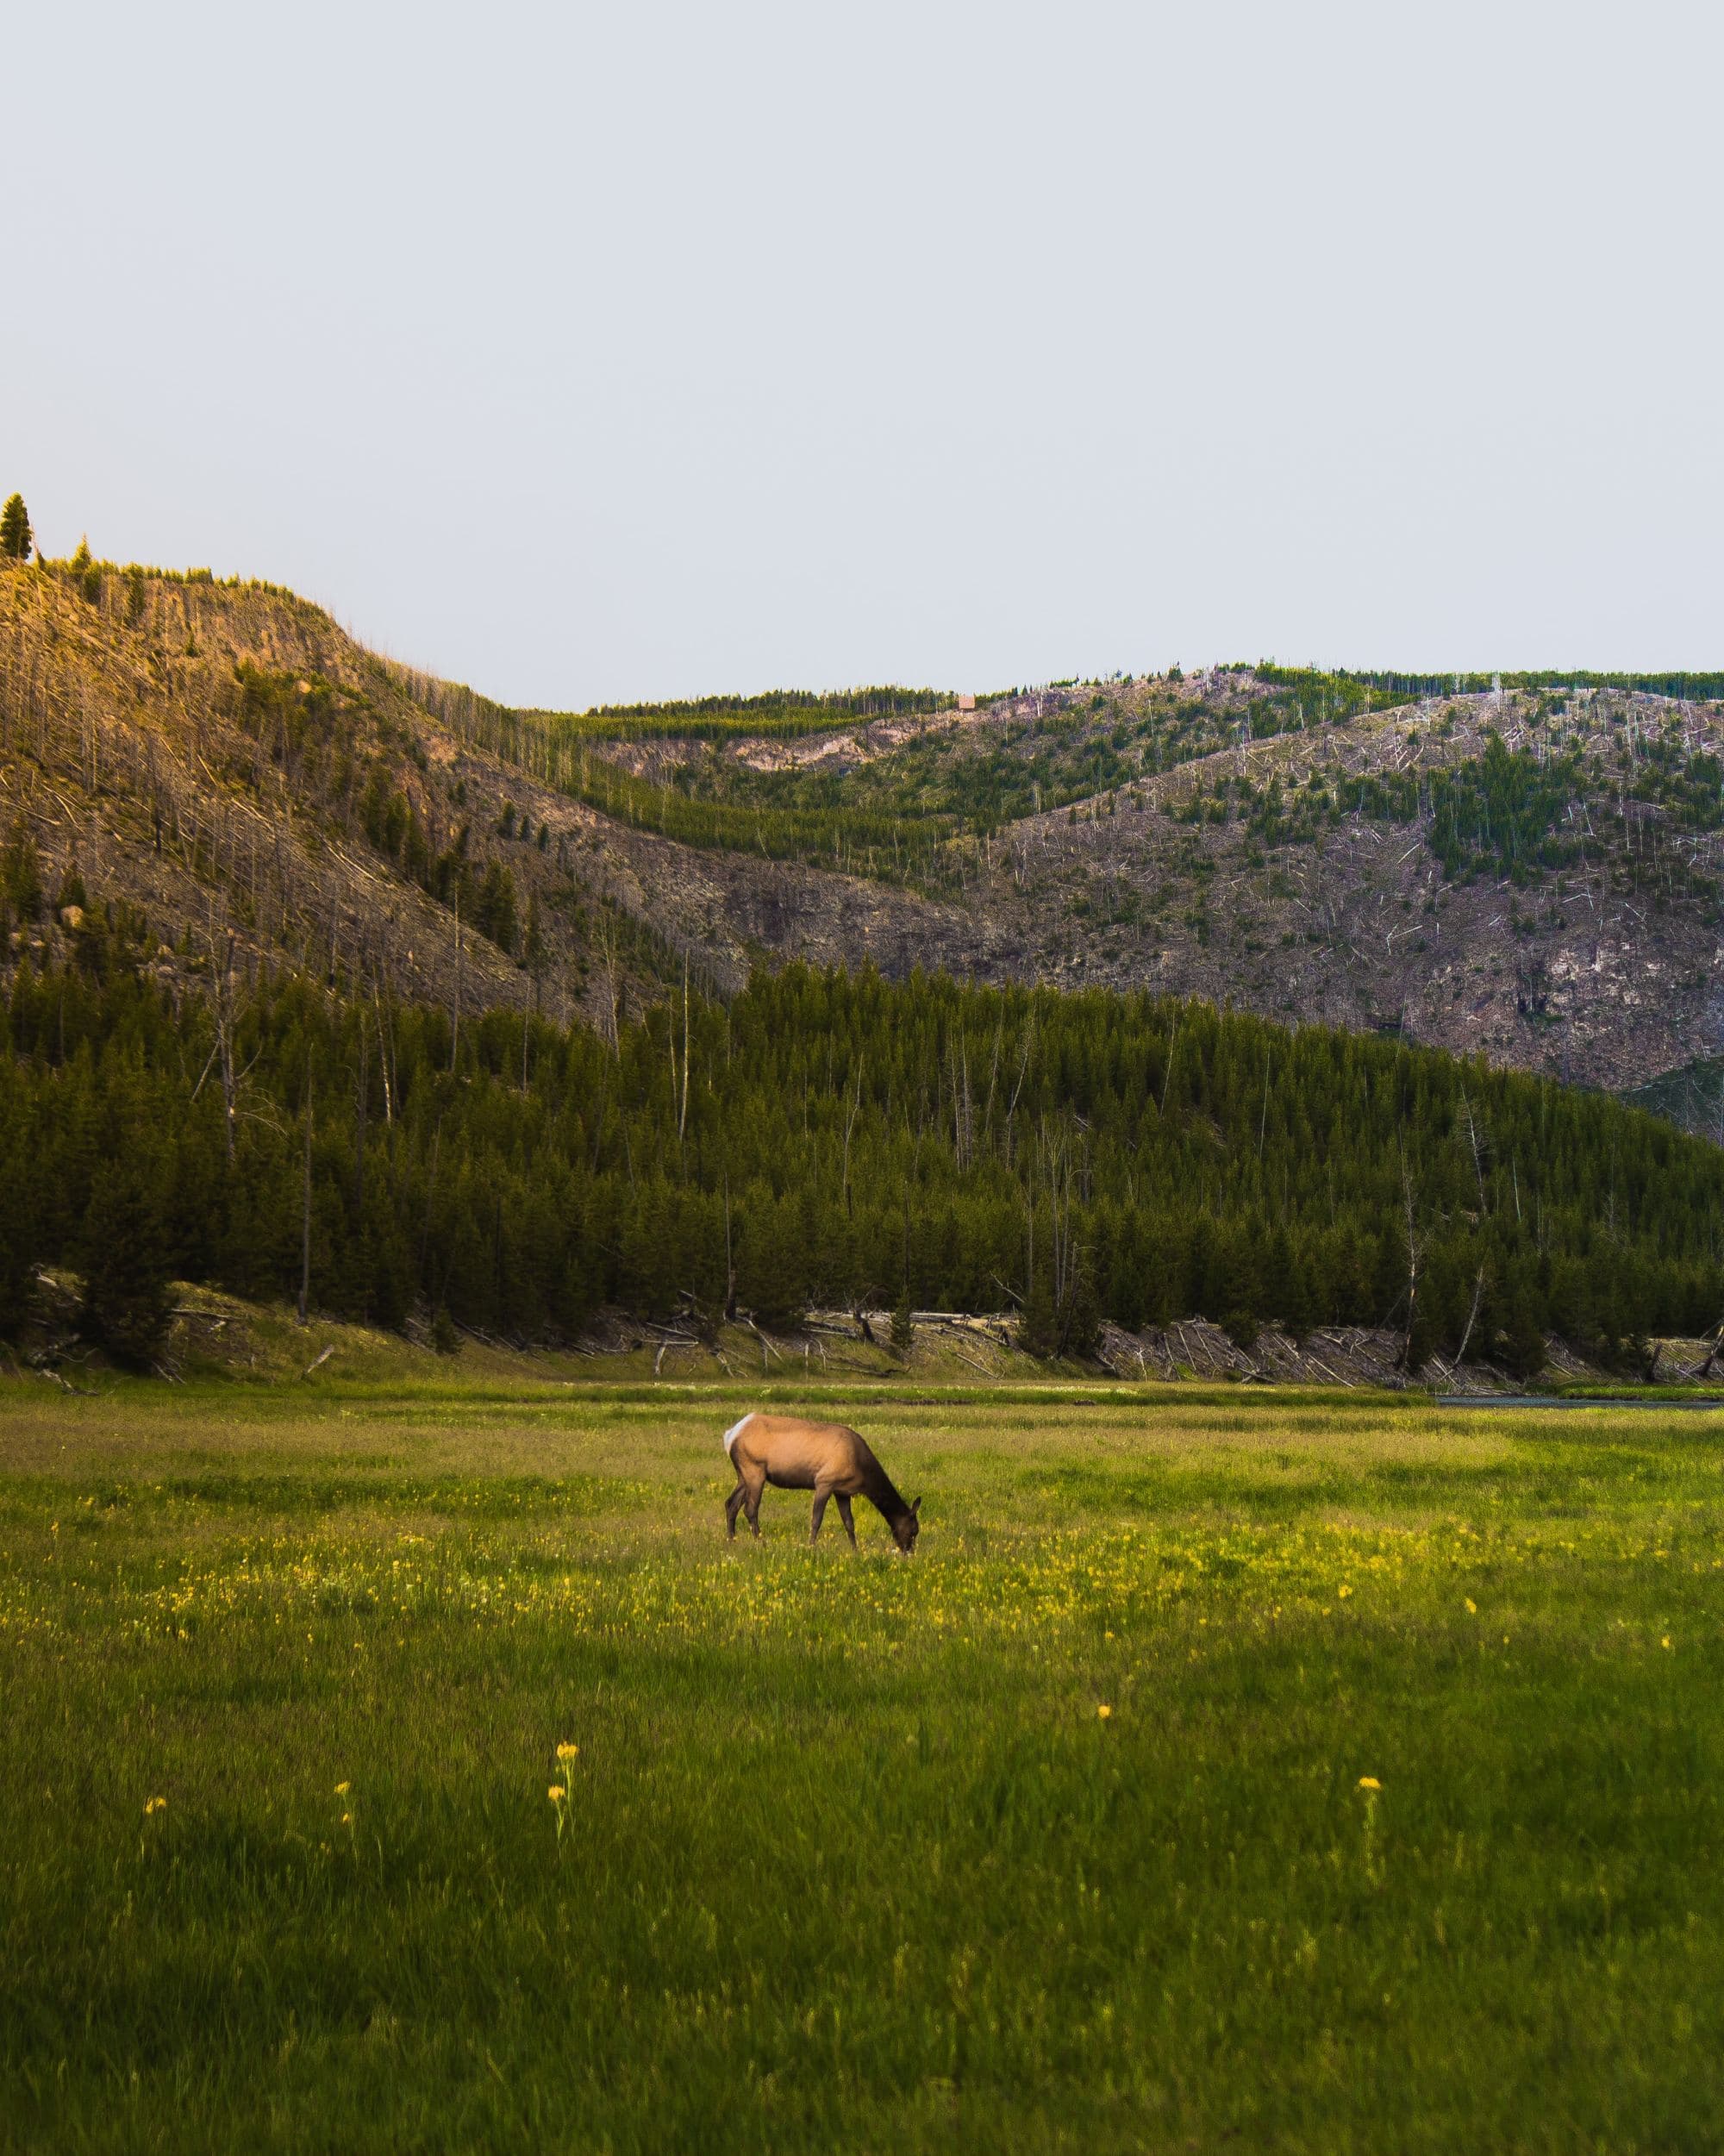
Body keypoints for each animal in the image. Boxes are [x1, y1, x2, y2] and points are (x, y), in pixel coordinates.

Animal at [720, 1414, 922, 1552]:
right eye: (913, 1531)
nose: (908, 1552)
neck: (862, 1471)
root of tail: (730, 1435)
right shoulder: (825, 1482)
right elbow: (816, 1519)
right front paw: (811, 1546)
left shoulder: (842, 1492)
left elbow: (849, 1522)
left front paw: (855, 1550)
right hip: (754, 1469)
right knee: (750, 1509)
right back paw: (761, 1543)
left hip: (743, 1475)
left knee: (731, 1504)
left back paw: (731, 1541)